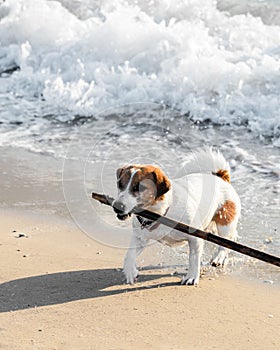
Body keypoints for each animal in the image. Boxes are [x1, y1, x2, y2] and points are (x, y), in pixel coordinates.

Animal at [113, 146, 241, 286]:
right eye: (120, 184)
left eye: (139, 187)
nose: (116, 206)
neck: (161, 213)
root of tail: (221, 177)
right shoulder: (140, 238)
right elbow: (129, 255)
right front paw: (130, 271)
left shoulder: (195, 239)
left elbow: (193, 259)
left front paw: (192, 277)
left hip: (225, 223)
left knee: (228, 240)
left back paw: (219, 257)